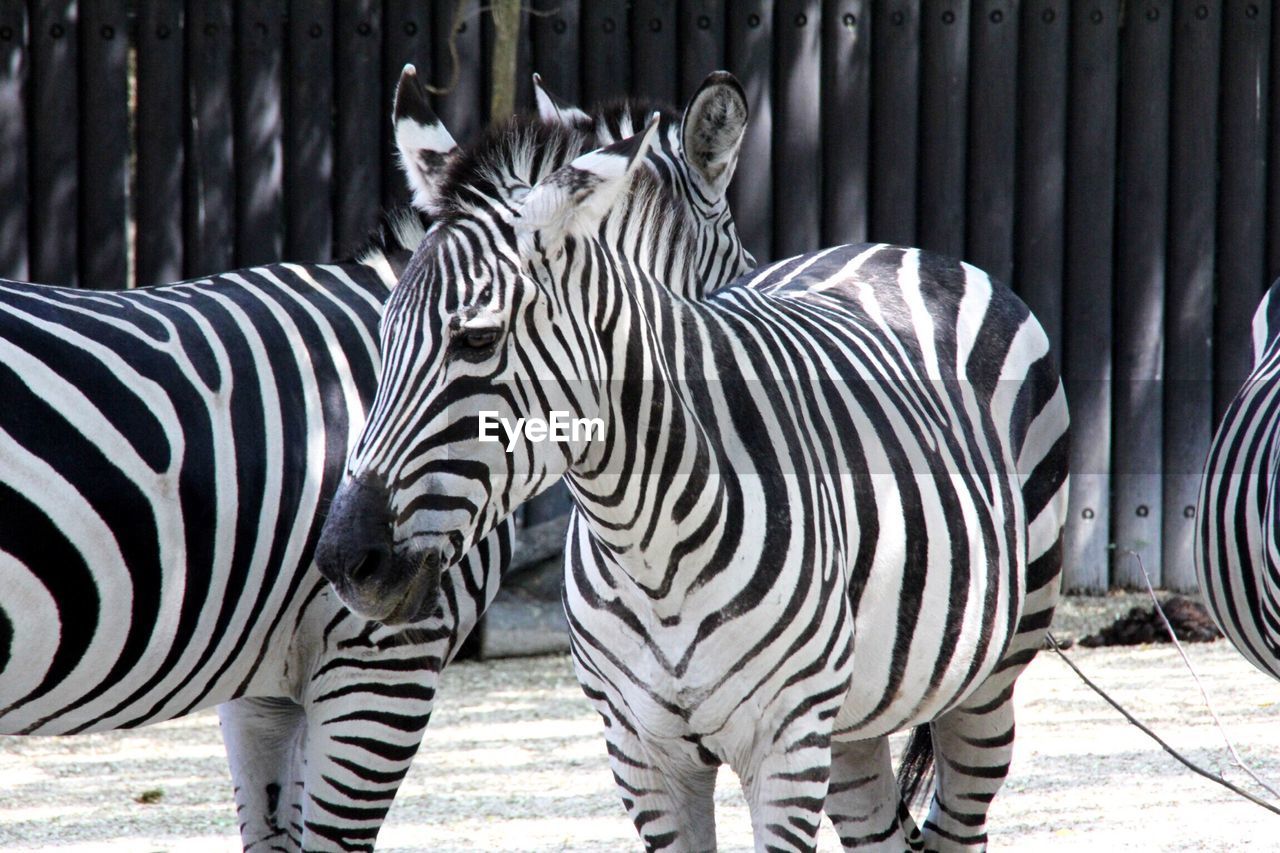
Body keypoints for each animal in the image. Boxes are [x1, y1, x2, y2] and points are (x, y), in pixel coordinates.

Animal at [317, 73, 1070, 850]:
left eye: (476, 340)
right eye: (384, 333)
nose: (345, 559)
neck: (647, 547)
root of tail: (902, 248)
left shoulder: (785, 745)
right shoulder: (640, 753)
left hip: (995, 671)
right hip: (856, 716)